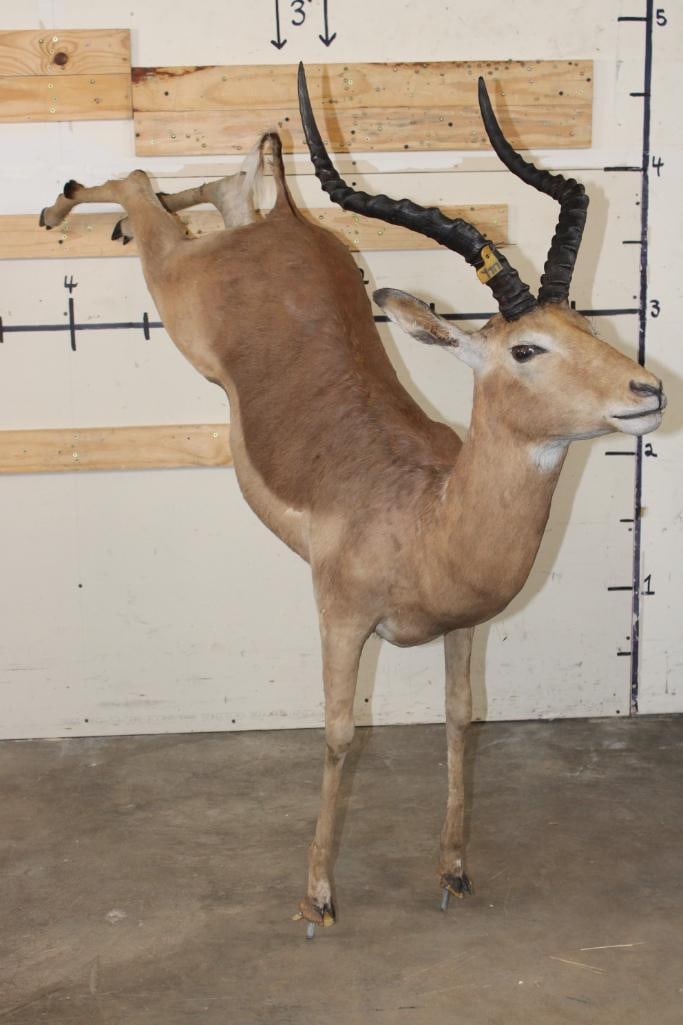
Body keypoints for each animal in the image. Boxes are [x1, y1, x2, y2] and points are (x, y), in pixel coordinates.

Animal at [39, 64, 665, 938]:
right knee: (135, 181)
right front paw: (318, 896)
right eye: (526, 348)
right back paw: (60, 207)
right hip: (174, 298)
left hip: (218, 247)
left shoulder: (463, 627)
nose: (646, 391)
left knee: (225, 187)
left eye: (584, 326)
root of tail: (289, 224)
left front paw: (453, 869)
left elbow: (460, 718)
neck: (426, 519)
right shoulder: (338, 618)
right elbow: (339, 735)